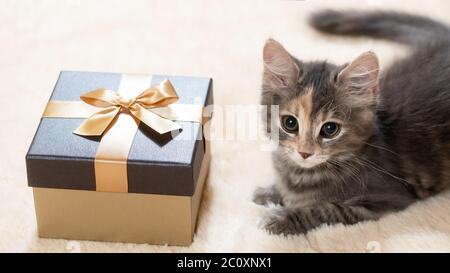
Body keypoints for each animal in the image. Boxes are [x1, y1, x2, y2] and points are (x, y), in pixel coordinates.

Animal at [255, 10, 448, 235]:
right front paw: (269, 192)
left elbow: (327, 209)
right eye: (290, 123)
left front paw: (282, 218)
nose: (304, 153)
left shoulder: (387, 199)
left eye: (330, 129)